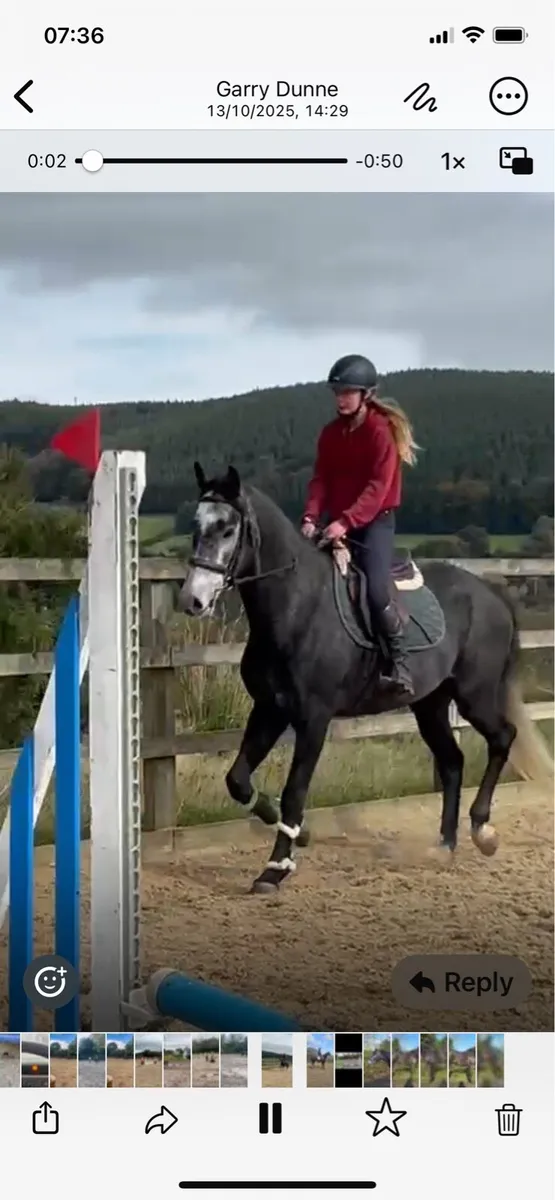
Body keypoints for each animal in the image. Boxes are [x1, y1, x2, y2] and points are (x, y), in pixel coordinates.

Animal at [179, 463, 553, 895]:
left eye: (227, 529)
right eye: (196, 525)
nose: (192, 601)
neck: (296, 607)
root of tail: (493, 596)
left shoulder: (313, 719)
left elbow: (295, 791)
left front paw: (276, 868)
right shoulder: (270, 709)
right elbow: (237, 780)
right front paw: (300, 834)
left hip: (474, 694)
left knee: (502, 738)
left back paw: (482, 830)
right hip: (430, 703)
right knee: (452, 761)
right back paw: (445, 845)